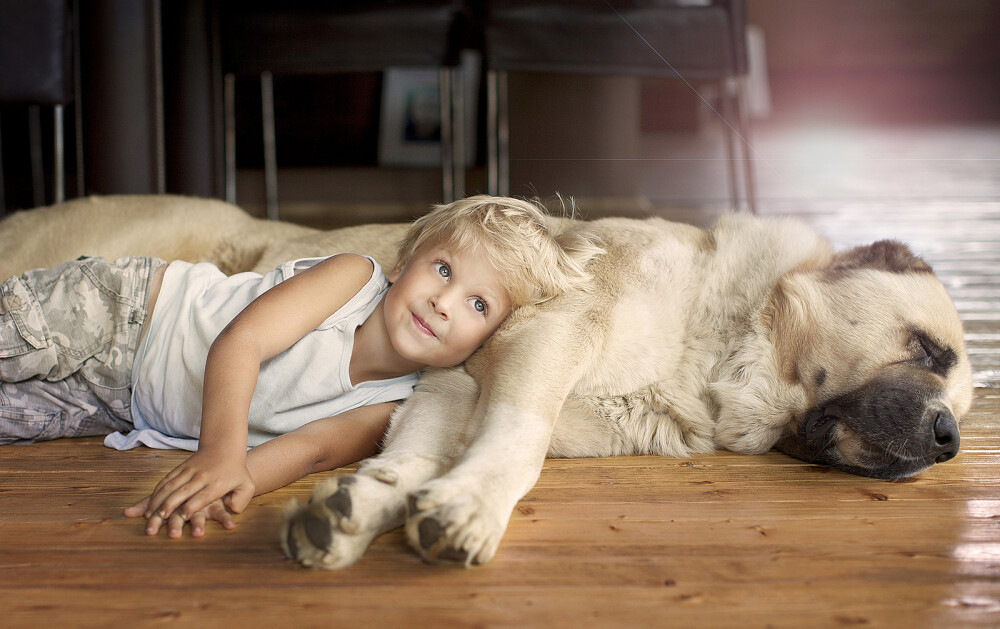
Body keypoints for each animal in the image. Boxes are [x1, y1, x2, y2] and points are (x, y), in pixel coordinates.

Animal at [0, 194, 968, 568]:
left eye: (955, 389)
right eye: (929, 352)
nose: (951, 438)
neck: (722, 330)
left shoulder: (451, 391)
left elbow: (416, 458)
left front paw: (365, 505)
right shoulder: (546, 337)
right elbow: (519, 442)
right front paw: (471, 508)